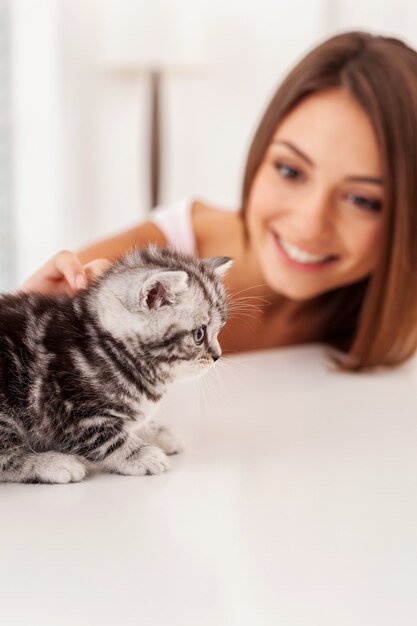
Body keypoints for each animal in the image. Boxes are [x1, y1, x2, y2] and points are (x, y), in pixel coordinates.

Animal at [0, 244, 231, 482]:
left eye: (219, 329)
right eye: (199, 334)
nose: (218, 355)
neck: (110, 348)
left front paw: (157, 432)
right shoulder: (69, 412)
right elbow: (109, 440)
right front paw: (141, 455)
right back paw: (53, 464)